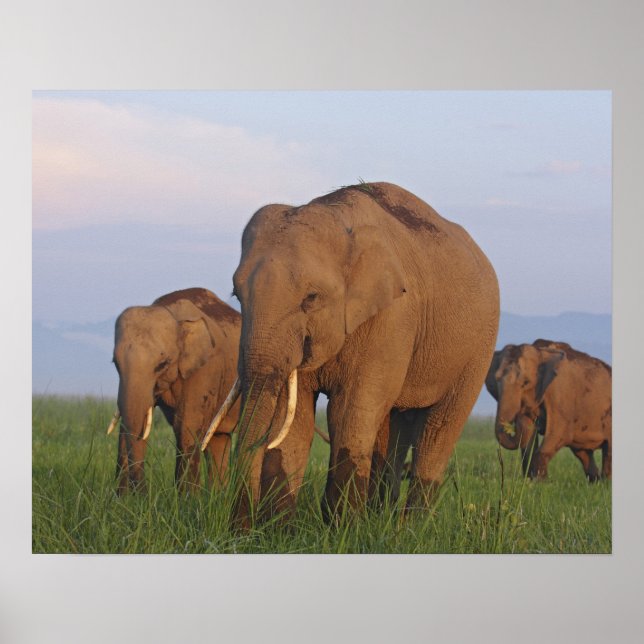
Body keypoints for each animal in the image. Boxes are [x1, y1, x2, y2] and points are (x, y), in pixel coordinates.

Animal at [108, 287, 241, 494]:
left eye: (162, 364)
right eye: (115, 363)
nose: (142, 493)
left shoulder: (205, 368)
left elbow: (186, 427)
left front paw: (187, 499)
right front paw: (123, 499)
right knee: (218, 439)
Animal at [202, 181, 500, 526]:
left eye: (311, 298)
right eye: (237, 295)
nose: (239, 529)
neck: (337, 214)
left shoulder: (393, 317)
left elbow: (348, 412)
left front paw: (340, 529)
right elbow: (296, 419)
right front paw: (281, 531)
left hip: (478, 349)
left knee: (438, 430)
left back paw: (409, 529)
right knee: (392, 427)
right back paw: (380, 521)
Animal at [485, 339, 612, 481]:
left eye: (526, 382)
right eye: (496, 380)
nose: (518, 418)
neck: (540, 352)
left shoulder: (560, 396)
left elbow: (559, 434)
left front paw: (540, 482)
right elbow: (529, 440)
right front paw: (530, 481)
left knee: (608, 452)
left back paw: (605, 483)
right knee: (582, 453)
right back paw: (596, 482)